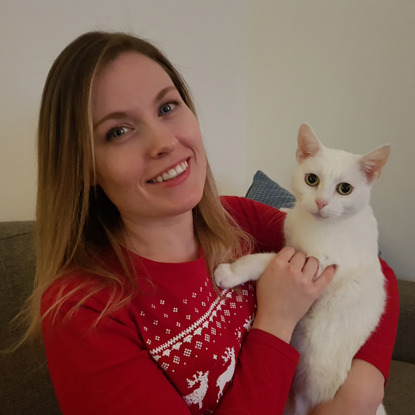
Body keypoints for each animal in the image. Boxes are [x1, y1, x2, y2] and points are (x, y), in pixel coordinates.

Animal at [216, 124, 392, 415]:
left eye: (345, 188)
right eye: (312, 179)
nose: (320, 202)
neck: (315, 224)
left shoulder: (320, 266)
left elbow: (267, 260)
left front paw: (230, 272)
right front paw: (285, 207)